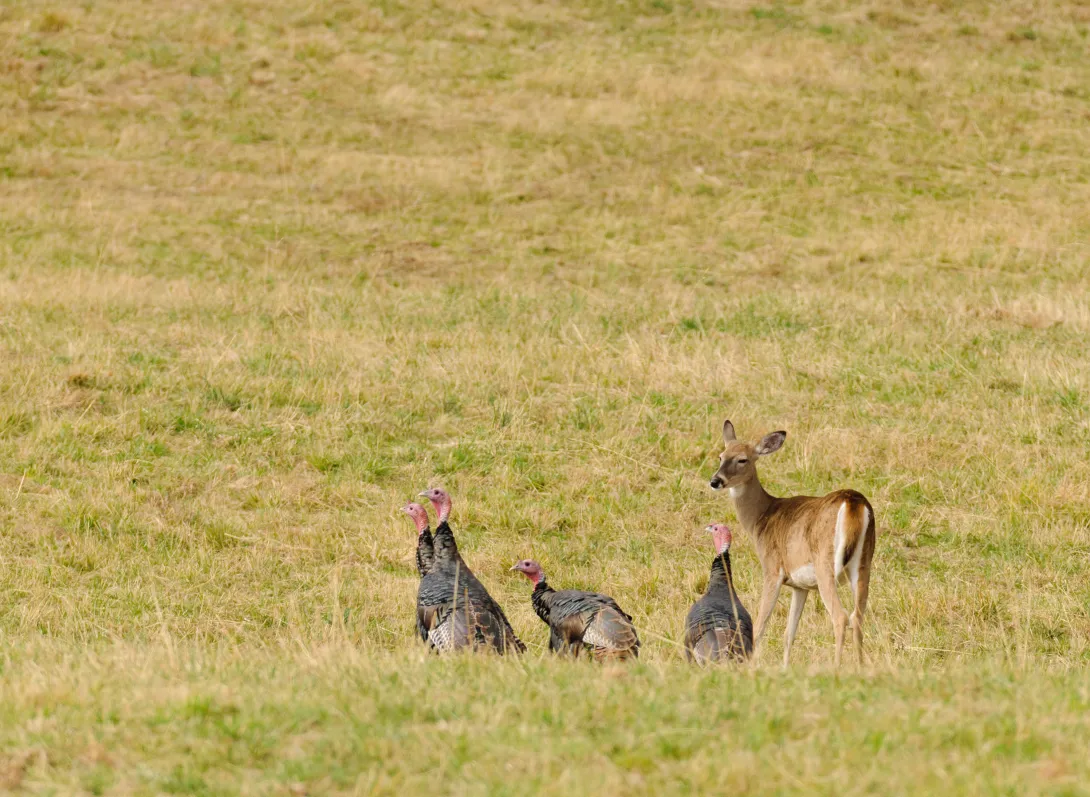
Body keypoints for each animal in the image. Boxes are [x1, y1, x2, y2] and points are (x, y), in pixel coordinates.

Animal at [709, 420, 876, 668]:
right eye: (721, 456)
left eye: (742, 459)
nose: (715, 481)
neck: (762, 517)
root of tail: (853, 502)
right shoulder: (800, 585)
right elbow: (789, 633)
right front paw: (785, 667)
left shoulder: (773, 569)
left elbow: (760, 624)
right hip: (864, 564)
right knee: (858, 616)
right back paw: (861, 666)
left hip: (825, 564)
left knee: (841, 616)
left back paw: (836, 667)